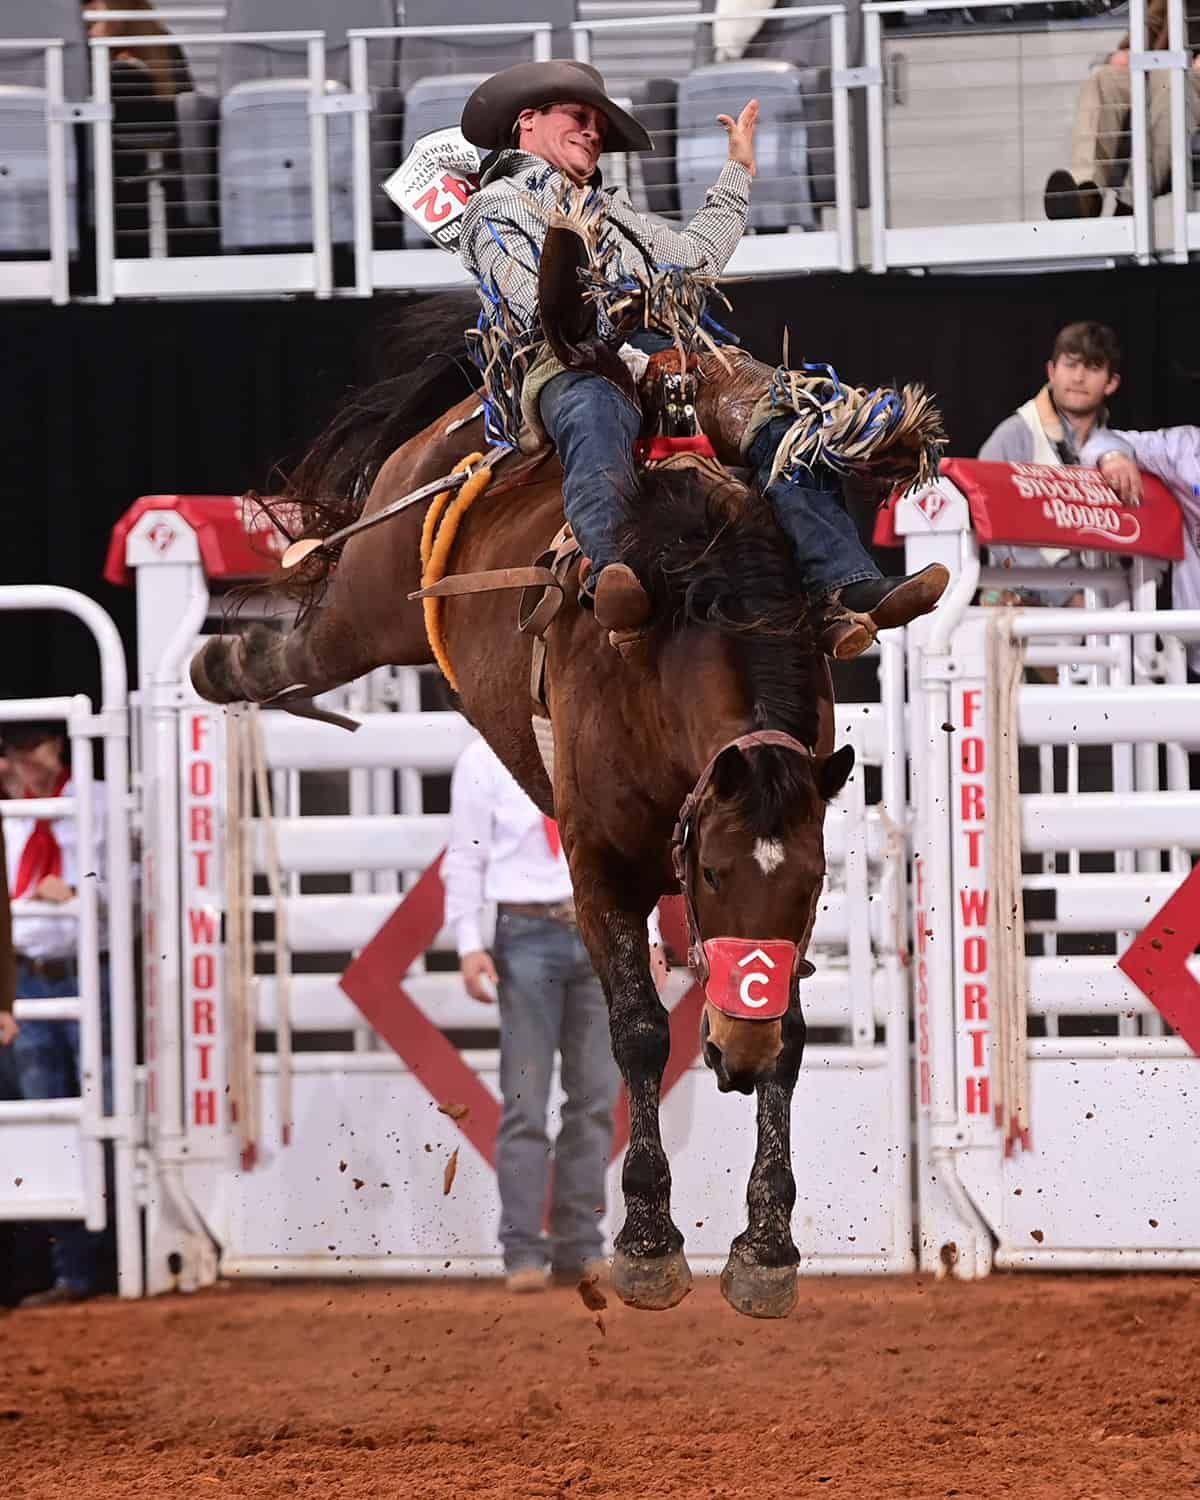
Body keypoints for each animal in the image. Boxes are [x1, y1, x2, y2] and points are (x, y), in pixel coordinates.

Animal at [192, 228, 942, 1320]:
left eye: (808, 885)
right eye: (712, 873)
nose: (738, 1049)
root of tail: (473, 417)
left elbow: (796, 1037)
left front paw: (766, 1247)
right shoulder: (598, 870)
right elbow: (637, 1034)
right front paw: (647, 1243)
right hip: (369, 594)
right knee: (306, 632)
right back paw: (218, 662)